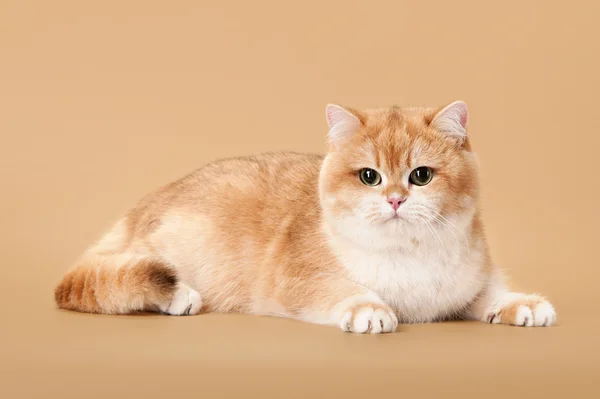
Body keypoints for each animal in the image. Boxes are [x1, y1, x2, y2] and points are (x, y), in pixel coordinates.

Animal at [54, 101, 556, 334]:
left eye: (422, 175)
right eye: (370, 176)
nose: (395, 200)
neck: (408, 256)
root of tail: (139, 208)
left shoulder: (467, 282)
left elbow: (491, 293)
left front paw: (522, 303)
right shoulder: (301, 280)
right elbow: (345, 291)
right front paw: (369, 309)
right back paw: (178, 296)